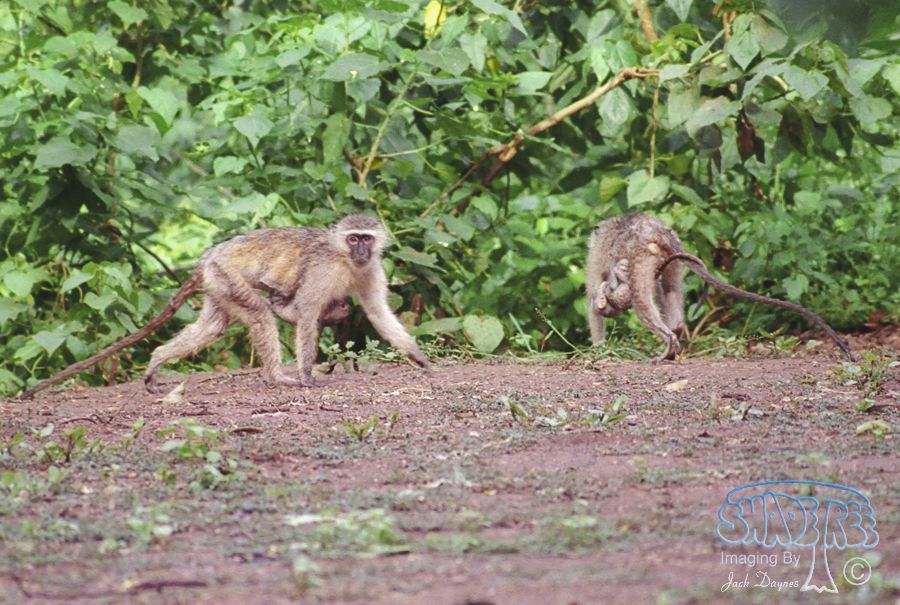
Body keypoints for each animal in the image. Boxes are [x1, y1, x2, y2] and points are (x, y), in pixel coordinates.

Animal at [20, 215, 429, 398]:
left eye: (367, 239)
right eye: (353, 238)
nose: (360, 250)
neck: (348, 261)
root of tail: (209, 256)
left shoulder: (371, 270)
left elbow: (378, 314)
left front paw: (420, 359)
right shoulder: (324, 272)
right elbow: (305, 314)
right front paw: (307, 374)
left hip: (218, 286)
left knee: (212, 327)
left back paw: (157, 360)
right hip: (228, 276)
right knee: (261, 316)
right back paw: (275, 375)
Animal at [586, 213, 854, 361]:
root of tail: (657, 232)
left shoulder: (598, 256)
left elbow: (594, 298)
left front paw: (599, 348)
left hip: (641, 252)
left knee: (642, 300)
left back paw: (669, 342)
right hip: (670, 254)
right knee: (669, 292)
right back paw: (674, 334)